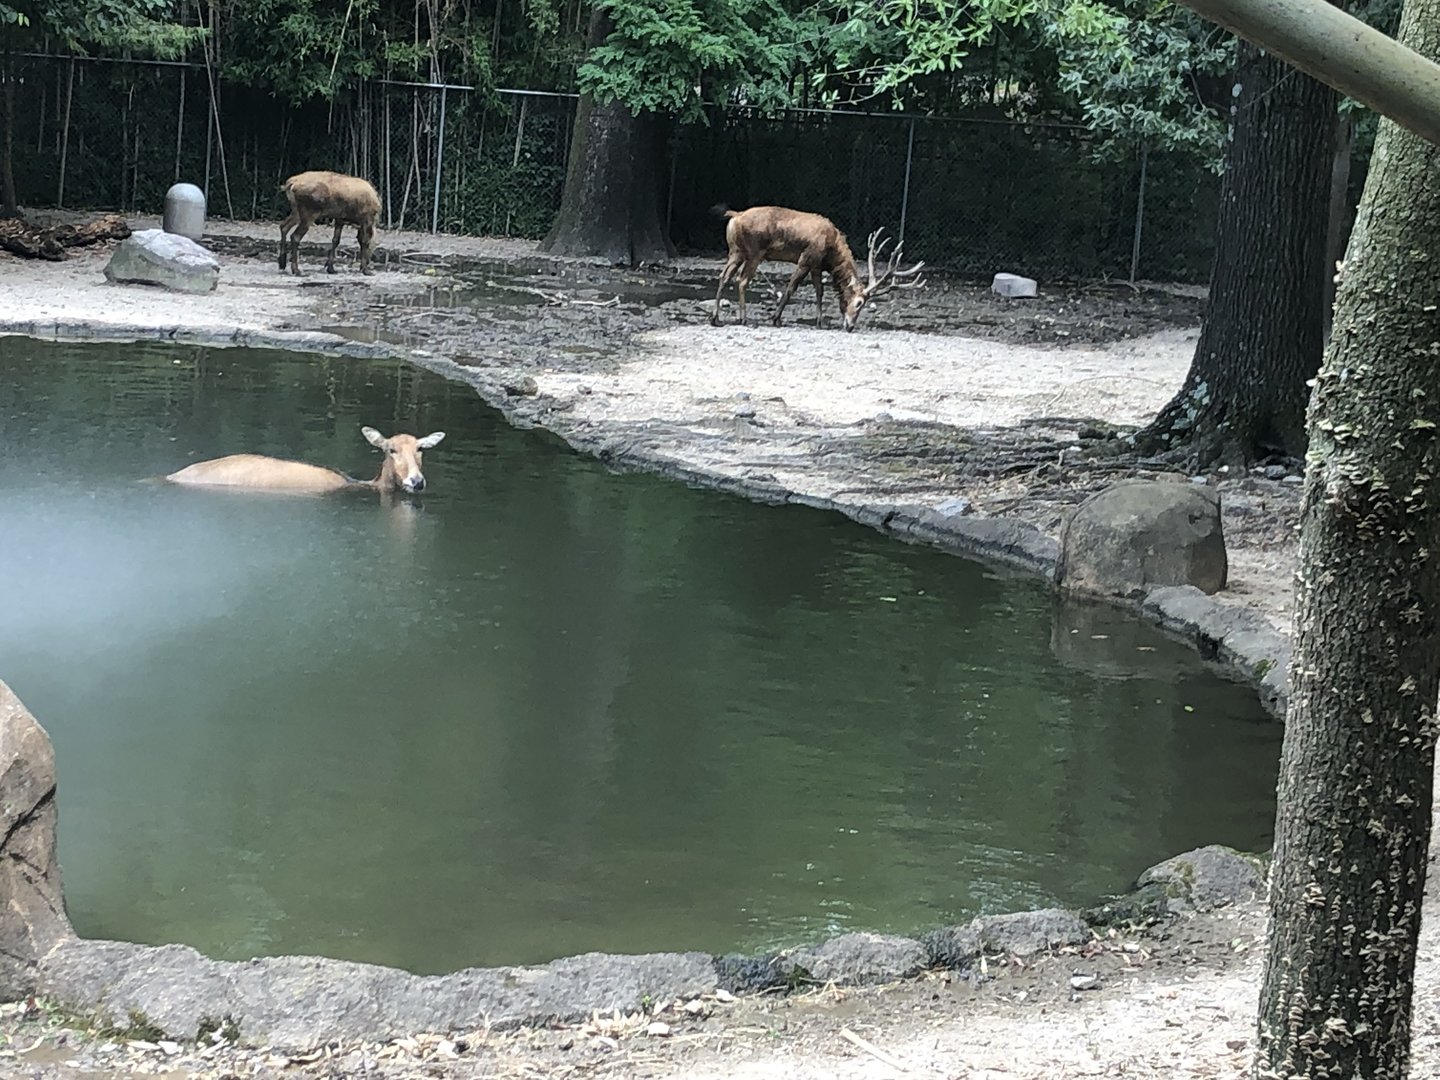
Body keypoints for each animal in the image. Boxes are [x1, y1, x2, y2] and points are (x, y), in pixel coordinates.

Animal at [709, 205, 925, 332]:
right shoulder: (806, 258)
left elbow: (819, 291)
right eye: (859, 303)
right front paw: (776, 318)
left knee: (724, 276)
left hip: (736, 251)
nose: (850, 326)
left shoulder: (816, 265)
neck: (832, 250)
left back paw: (715, 318)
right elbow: (791, 289)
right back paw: (744, 318)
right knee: (742, 280)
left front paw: (820, 322)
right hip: (755, 252)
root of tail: (735, 216)